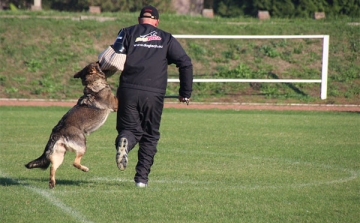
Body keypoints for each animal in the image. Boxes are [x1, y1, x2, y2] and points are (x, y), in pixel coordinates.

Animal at [25, 61, 118, 189]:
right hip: (82, 144)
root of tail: (57, 132)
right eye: (97, 63)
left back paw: (52, 183)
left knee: (52, 167)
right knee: (74, 162)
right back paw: (84, 169)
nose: (100, 61)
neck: (94, 82)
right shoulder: (115, 105)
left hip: (60, 154)